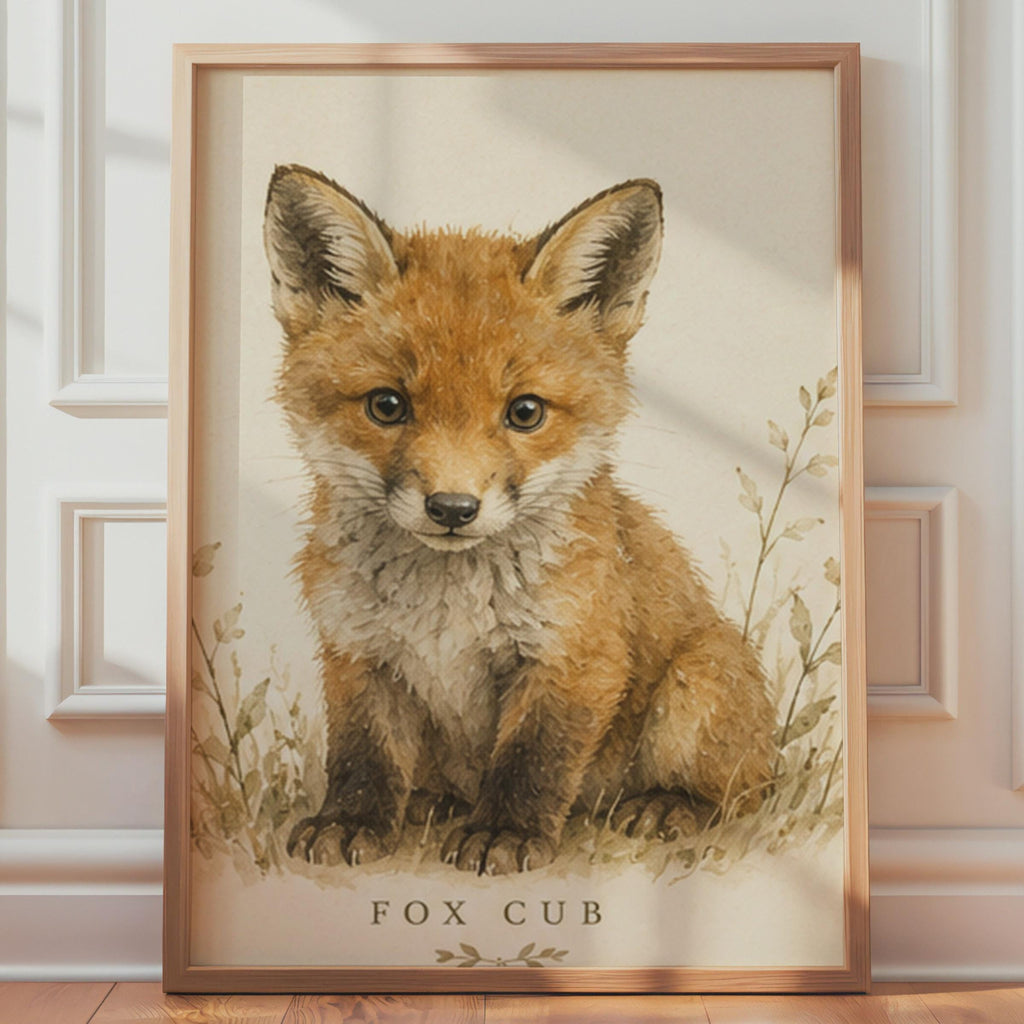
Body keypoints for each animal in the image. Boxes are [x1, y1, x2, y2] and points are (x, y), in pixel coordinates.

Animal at [262, 165, 777, 876]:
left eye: (525, 412)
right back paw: (432, 802)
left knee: (744, 788)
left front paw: (505, 834)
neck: (446, 605)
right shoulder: (358, 652)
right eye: (387, 405)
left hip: (697, 683)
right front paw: (352, 821)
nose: (452, 508)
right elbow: (363, 753)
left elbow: (533, 760)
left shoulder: (575, 654)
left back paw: (669, 805)